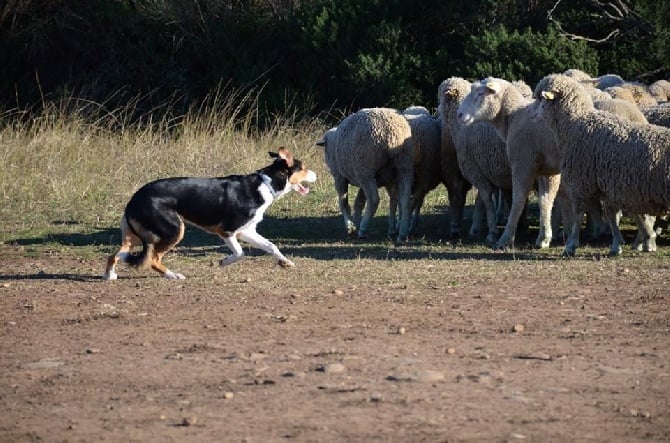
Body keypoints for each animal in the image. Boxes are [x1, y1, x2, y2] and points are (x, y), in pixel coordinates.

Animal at [103, 149, 318, 280]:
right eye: (303, 168)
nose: (317, 175)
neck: (265, 184)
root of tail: (134, 198)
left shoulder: (246, 231)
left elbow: (271, 245)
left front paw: (284, 261)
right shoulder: (227, 231)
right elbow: (239, 253)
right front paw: (223, 262)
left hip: (135, 237)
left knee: (115, 255)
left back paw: (109, 276)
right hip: (173, 230)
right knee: (153, 259)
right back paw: (173, 275)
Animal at [318, 107, 418, 243]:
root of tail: (392, 134)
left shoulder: (339, 177)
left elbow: (344, 202)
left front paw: (350, 226)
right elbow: (358, 202)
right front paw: (355, 223)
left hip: (366, 169)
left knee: (374, 199)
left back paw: (363, 229)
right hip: (404, 165)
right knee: (404, 199)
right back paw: (401, 233)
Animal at [460, 76, 564, 250]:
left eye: (480, 93)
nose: (459, 114)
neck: (514, 116)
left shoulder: (523, 163)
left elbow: (518, 200)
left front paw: (505, 238)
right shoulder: (547, 171)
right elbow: (546, 200)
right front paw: (544, 238)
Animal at [532, 73, 668, 256]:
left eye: (541, 99)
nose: (531, 115)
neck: (575, 124)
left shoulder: (581, 182)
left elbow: (578, 215)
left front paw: (571, 245)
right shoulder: (606, 187)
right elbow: (611, 216)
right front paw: (617, 244)